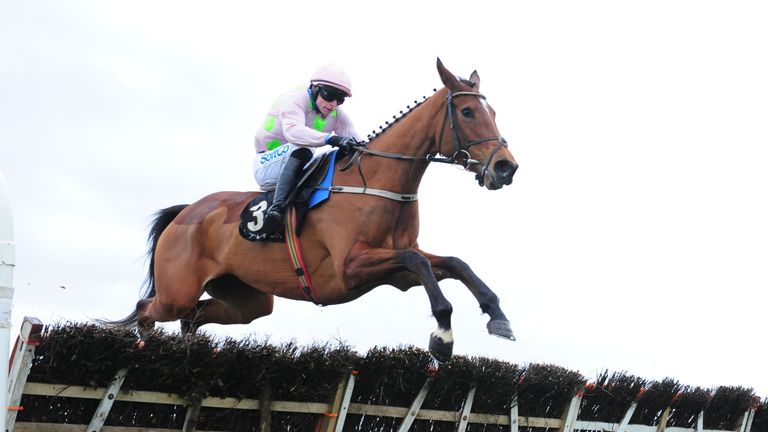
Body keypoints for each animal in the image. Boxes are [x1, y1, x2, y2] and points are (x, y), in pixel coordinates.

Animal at [105, 57, 520, 362]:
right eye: (467, 112)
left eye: (495, 112)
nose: (506, 167)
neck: (377, 182)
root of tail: (186, 212)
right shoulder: (350, 266)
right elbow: (419, 263)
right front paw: (442, 336)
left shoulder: (398, 269)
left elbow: (454, 263)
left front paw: (498, 317)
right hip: (177, 290)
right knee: (147, 308)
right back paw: (142, 353)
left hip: (247, 300)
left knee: (192, 317)